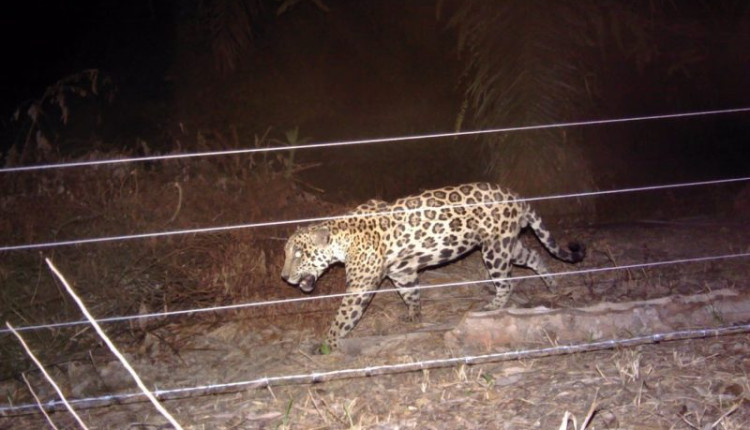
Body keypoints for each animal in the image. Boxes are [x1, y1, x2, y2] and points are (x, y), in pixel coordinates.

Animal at [281, 182, 585, 350]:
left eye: (299, 254)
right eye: (287, 253)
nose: (284, 277)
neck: (342, 239)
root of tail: (515, 195)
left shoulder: (360, 287)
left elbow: (343, 317)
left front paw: (328, 343)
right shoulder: (401, 272)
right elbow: (411, 293)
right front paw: (414, 315)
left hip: (495, 249)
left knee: (506, 281)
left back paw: (493, 307)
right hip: (507, 243)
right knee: (534, 256)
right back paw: (551, 284)